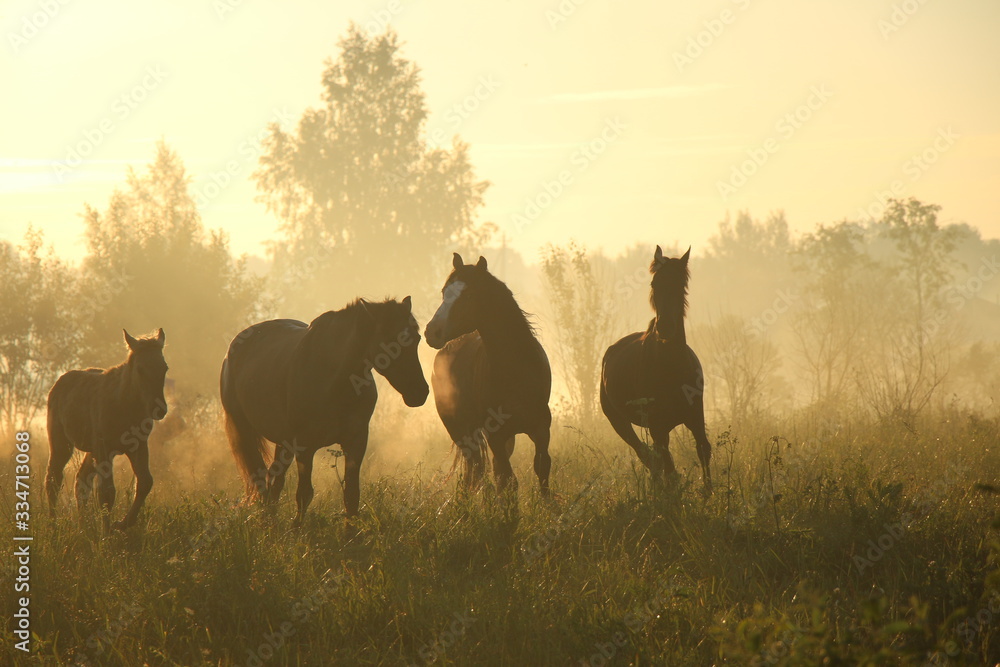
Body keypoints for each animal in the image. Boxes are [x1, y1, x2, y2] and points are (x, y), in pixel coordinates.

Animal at [45, 328, 168, 531]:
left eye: (165, 367)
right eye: (140, 369)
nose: (159, 409)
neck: (125, 404)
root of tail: (57, 386)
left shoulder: (138, 446)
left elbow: (145, 482)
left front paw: (122, 524)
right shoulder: (105, 448)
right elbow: (107, 492)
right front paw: (107, 532)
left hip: (91, 451)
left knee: (81, 480)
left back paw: (82, 527)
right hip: (61, 443)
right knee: (53, 479)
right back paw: (53, 526)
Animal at [220, 297, 428, 525]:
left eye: (417, 338)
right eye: (389, 339)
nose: (420, 392)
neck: (337, 380)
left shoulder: (356, 442)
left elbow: (351, 495)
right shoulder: (305, 446)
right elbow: (304, 494)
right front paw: (297, 530)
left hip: (284, 442)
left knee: (275, 480)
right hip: (248, 432)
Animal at [425, 253, 552, 496]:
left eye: (469, 294)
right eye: (444, 292)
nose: (431, 332)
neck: (515, 370)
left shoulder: (541, 429)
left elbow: (542, 470)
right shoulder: (496, 435)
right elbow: (507, 480)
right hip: (461, 432)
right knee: (475, 468)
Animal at [600, 246, 712, 493]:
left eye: (681, 284)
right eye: (654, 284)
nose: (666, 327)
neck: (671, 365)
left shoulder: (695, 415)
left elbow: (703, 450)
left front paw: (709, 493)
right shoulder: (658, 426)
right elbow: (667, 466)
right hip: (620, 422)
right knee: (649, 456)